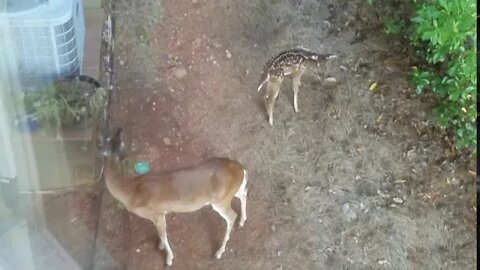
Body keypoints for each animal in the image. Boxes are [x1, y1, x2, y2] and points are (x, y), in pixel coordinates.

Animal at [98, 127, 248, 264]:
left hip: (220, 200)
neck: (131, 190)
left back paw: (219, 252)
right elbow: (160, 234)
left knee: (231, 216)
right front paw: (160, 246)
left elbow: (163, 235)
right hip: (228, 194)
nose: (118, 129)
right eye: (109, 139)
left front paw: (169, 259)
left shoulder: (157, 213)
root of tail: (241, 168)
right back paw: (242, 221)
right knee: (243, 193)